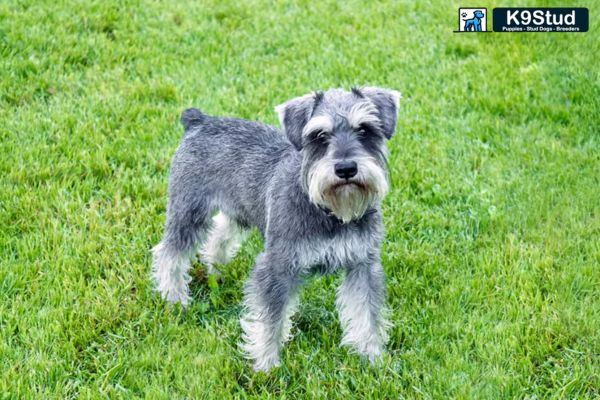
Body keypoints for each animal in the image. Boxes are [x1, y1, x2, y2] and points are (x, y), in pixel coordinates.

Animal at [152, 87, 400, 372]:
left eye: (365, 130)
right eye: (319, 135)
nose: (346, 168)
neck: (329, 210)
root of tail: (199, 121)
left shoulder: (363, 265)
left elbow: (367, 314)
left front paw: (373, 358)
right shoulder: (278, 266)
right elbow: (269, 319)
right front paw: (266, 365)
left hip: (239, 211)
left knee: (219, 233)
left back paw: (216, 269)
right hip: (189, 212)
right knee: (169, 253)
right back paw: (175, 299)